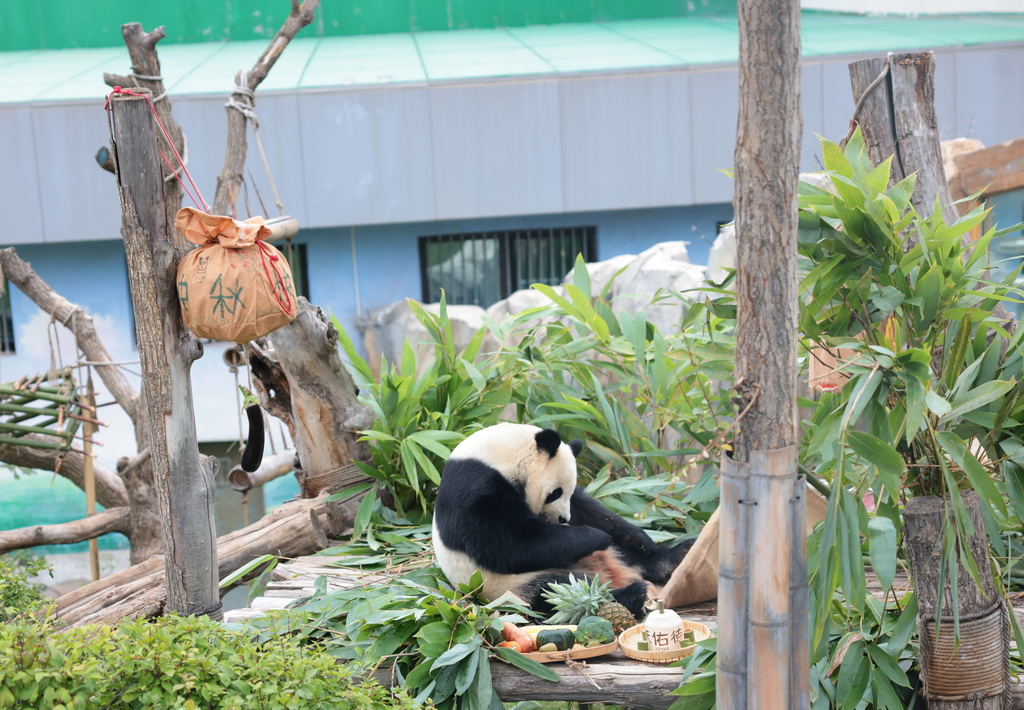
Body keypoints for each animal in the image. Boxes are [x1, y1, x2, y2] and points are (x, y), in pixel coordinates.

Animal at [428, 424, 692, 618]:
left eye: (568, 490)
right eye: (555, 492)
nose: (564, 519)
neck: (499, 455)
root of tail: (609, 574)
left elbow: (587, 508)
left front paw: (637, 537)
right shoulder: (476, 487)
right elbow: (505, 544)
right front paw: (595, 537)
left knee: (634, 557)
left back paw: (675, 556)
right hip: (508, 585)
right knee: (554, 590)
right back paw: (631, 595)